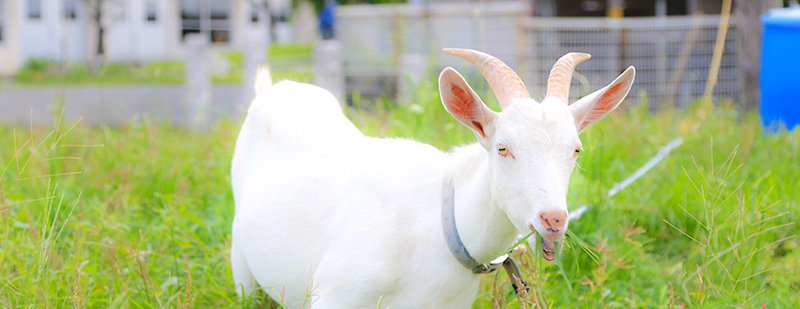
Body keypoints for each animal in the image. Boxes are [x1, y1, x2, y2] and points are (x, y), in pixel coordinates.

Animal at [231, 48, 636, 306]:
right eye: (503, 148)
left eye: (575, 150)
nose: (552, 218)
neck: (442, 228)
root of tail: (279, 87)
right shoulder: (335, 295)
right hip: (241, 262)